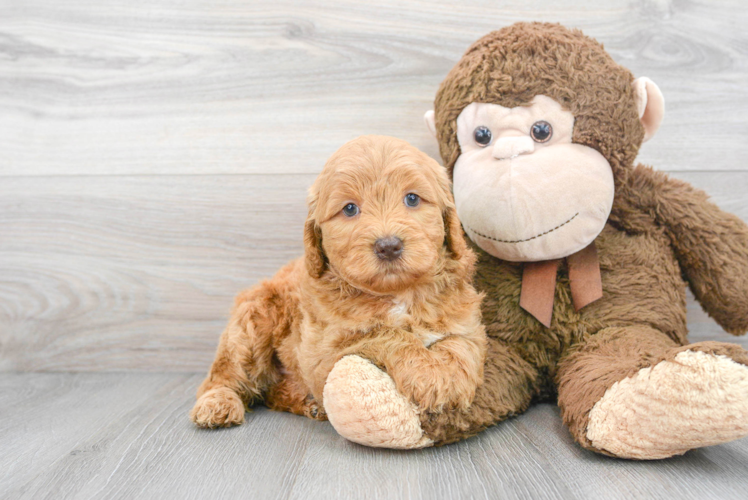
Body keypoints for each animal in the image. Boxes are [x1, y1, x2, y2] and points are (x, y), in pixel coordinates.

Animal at [188, 135, 486, 428]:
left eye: (412, 199)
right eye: (350, 209)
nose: (388, 246)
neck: (399, 294)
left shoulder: (465, 320)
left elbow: (461, 344)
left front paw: (447, 379)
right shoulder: (324, 353)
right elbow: (384, 333)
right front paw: (427, 374)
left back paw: (307, 404)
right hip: (252, 322)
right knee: (224, 374)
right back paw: (218, 404)